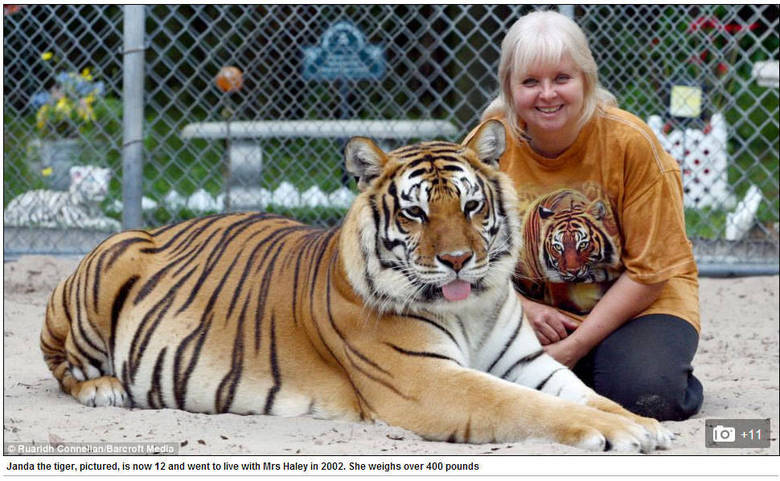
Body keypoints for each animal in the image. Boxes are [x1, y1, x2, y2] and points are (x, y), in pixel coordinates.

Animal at [39, 120, 672, 450]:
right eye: (416, 214)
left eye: (471, 206)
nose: (459, 261)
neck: (471, 309)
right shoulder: (426, 380)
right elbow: (524, 406)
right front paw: (620, 431)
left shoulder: (525, 362)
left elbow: (581, 393)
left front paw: (639, 421)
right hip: (108, 269)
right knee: (63, 367)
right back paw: (104, 389)